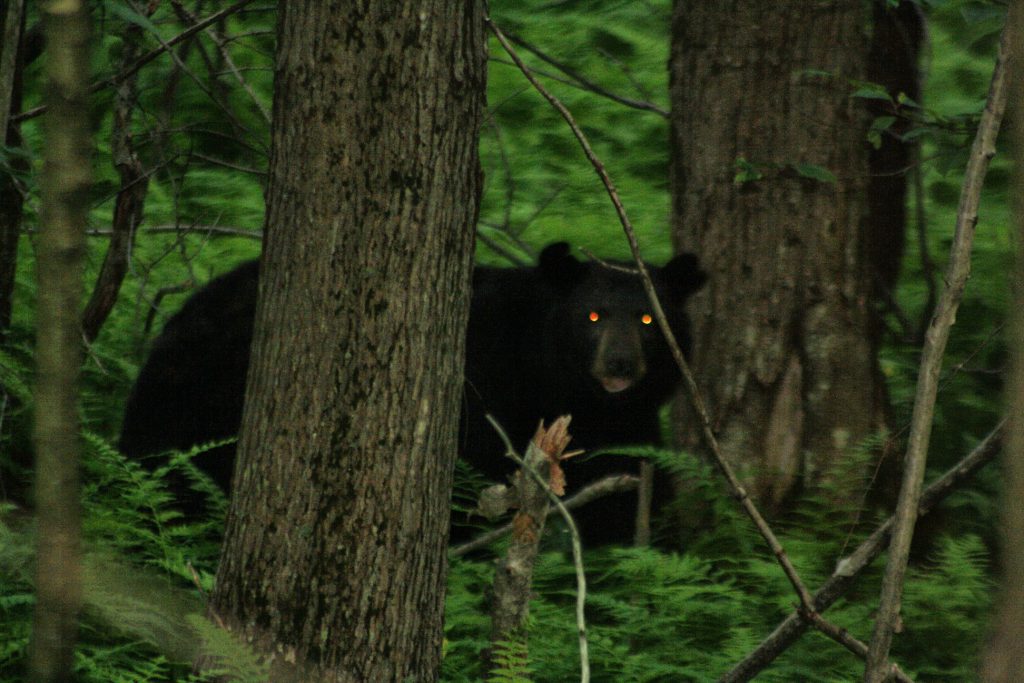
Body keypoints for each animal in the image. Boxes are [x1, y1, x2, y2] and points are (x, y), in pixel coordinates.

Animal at [119, 244, 708, 544]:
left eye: (648, 319)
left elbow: (625, 507)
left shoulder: (627, 437)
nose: (620, 364)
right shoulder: (491, 411)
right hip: (199, 417)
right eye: (592, 316)